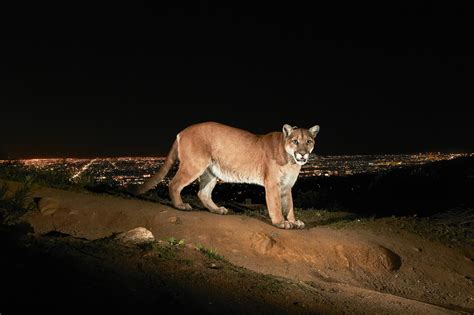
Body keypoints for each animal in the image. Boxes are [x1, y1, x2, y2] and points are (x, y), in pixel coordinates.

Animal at [137, 123, 322, 230]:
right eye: (295, 141)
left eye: (309, 141)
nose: (303, 154)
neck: (292, 161)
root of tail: (182, 131)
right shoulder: (272, 184)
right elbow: (276, 205)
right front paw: (280, 222)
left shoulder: (286, 186)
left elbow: (289, 206)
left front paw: (294, 221)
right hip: (194, 165)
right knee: (174, 184)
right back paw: (181, 205)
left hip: (211, 171)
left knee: (202, 193)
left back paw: (217, 210)